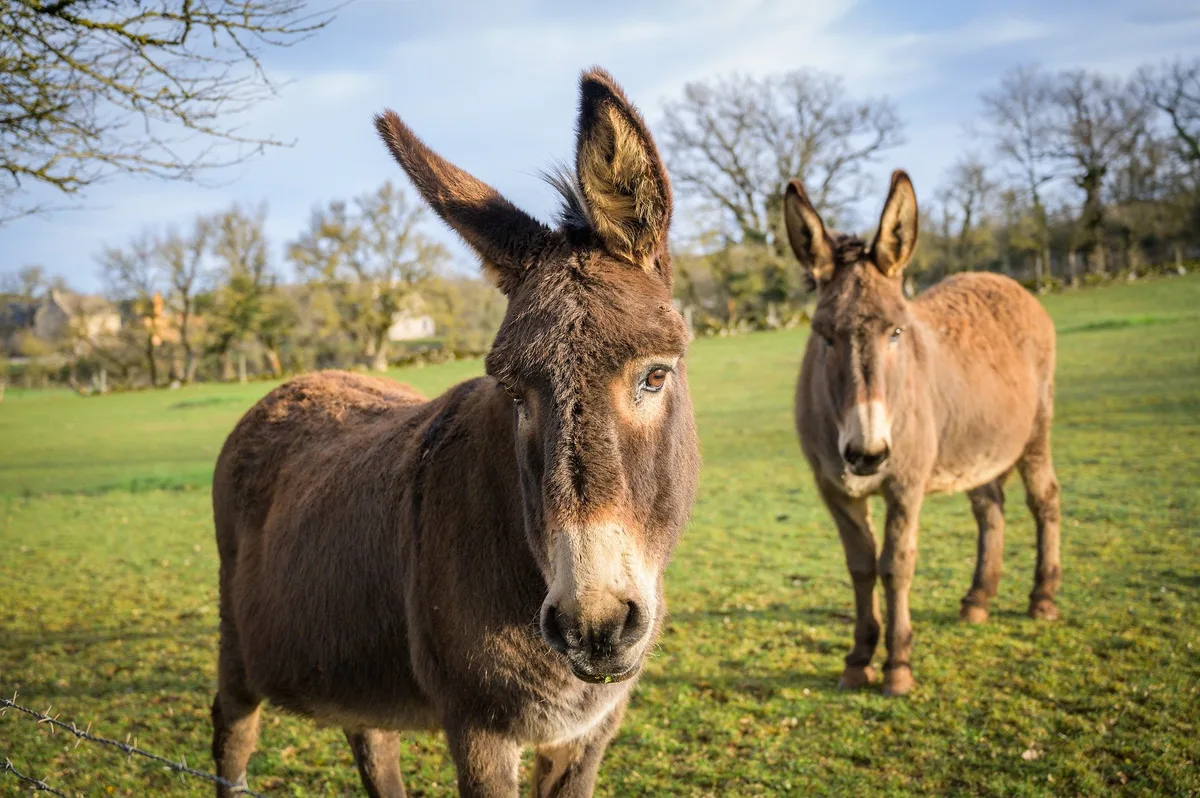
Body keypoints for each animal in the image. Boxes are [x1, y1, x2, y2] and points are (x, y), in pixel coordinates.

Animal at [210, 68, 700, 796]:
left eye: (655, 376)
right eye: (515, 393)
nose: (595, 624)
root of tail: (295, 382)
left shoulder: (589, 734)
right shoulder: (479, 729)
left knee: (371, 740)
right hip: (239, 650)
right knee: (232, 733)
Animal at [785, 171, 1061, 696]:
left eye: (896, 331)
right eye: (824, 335)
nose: (867, 454)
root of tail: (1003, 281)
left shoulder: (905, 486)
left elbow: (896, 565)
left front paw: (897, 665)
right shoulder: (834, 490)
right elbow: (860, 565)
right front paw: (858, 660)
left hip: (1036, 433)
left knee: (1045, 499)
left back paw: (1043, 598)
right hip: (978, 447)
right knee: (990, 507)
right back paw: (978, 598)